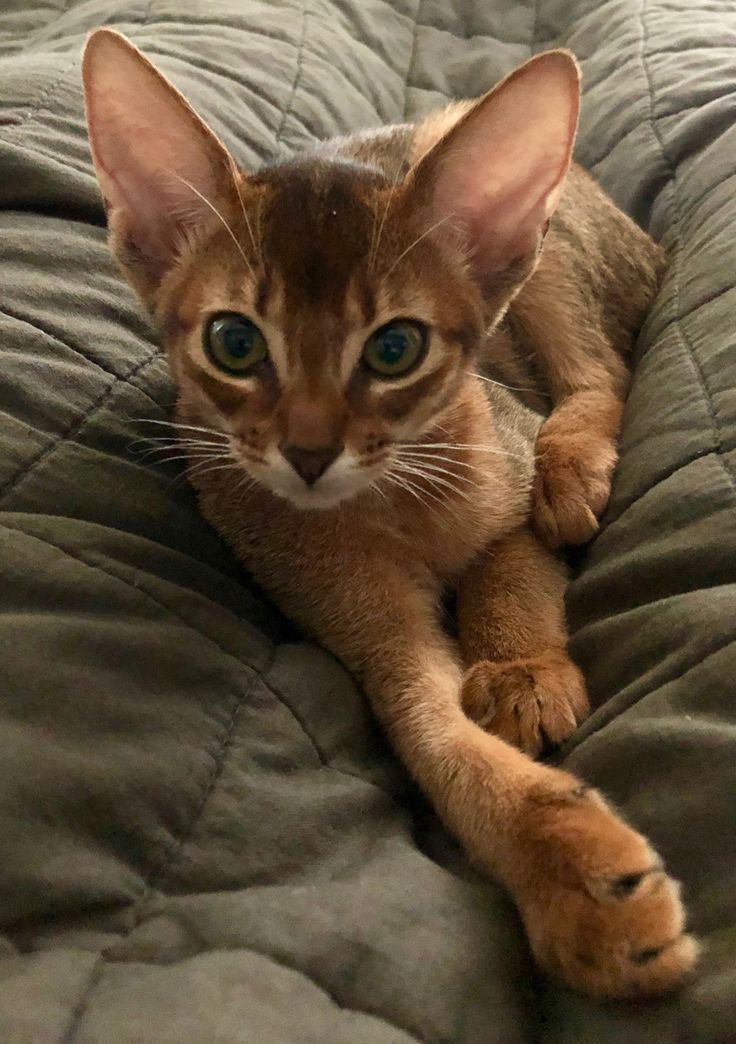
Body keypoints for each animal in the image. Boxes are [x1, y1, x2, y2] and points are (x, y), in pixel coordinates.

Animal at [83, 28, 697, 998]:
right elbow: (438, 744)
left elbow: (509, 565)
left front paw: (521, 670)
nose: (307, 452)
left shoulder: (506, 459)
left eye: (395, 349)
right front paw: (584, 885)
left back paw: (572, 472)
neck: (394, 500)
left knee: (606, 372)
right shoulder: (376, 638)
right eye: (234, 342)